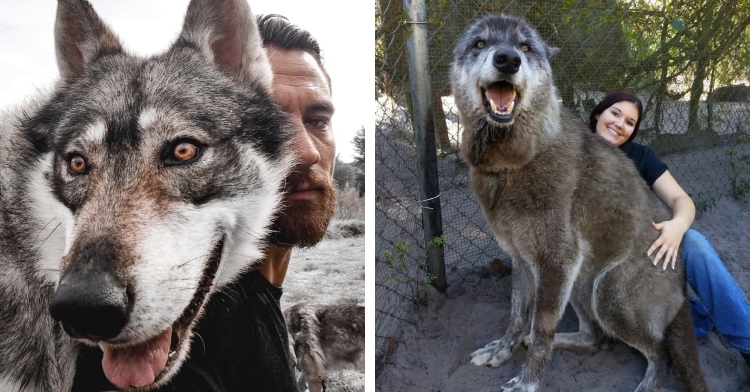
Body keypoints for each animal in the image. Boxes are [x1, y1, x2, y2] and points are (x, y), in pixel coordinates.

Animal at [452, 13, 712, 390]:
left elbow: (542, 329)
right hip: (579, 283)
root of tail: (681, 287)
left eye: (525, 47)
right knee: (594, 339)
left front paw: (528, 381)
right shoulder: (524, 260)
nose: (507, 59)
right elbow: (517, 315)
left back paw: (649, 383)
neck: (513, 163)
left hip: (608, 295)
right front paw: (503, 349)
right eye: (480, 43)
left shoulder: (556, 261)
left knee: (659, 350)